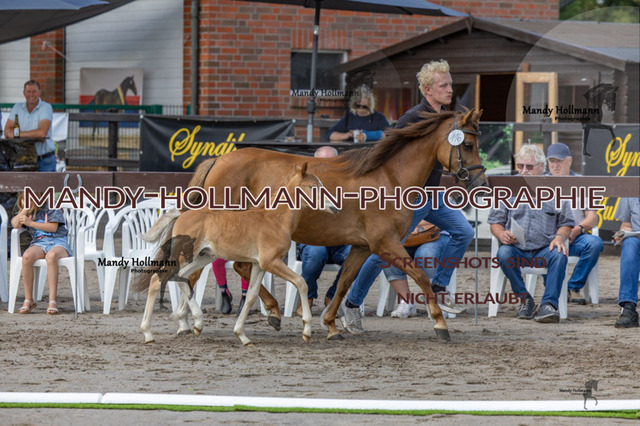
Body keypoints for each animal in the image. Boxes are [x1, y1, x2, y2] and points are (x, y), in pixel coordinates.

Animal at [132, 162, 338, 346]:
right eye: (313, 187)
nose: (335, 207)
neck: (275, 219)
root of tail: (182, 214)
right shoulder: (271, 262)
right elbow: (301, 282)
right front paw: (307, 331)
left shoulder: (259, 265)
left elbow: (252, 296)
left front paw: (242, 335)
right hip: (184, 255)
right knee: (158, 279)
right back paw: (148, 333)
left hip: (203, 256)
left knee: (181, 276)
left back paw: (196, 323)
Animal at [187, 109, 487, 341]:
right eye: (468, 145)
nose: (481, 183)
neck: (389, 177)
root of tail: (218, 160)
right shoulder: (386, 244)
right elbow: (422, 277)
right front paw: (440, 324)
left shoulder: (362, 246)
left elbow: (344, 283)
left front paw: (331, 325)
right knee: (203, 272)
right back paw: (197, 322)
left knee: (237, 267)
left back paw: (271, 312)